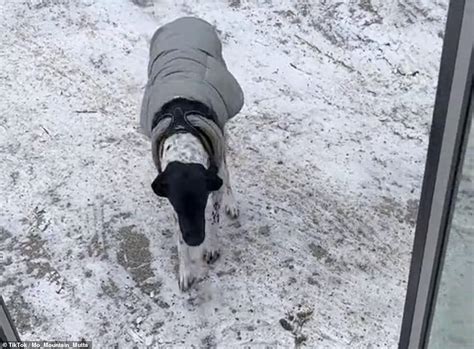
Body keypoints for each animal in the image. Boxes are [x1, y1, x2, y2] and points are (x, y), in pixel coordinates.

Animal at [139, 17, 244, 288]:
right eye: (177, 204)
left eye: (201, 200)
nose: (196, 240)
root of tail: (185, 19)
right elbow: (178, 236)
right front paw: (185, 269)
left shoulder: (214, 179)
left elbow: (214, 218)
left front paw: (211, 247)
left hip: (224, 131)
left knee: (228, 170)